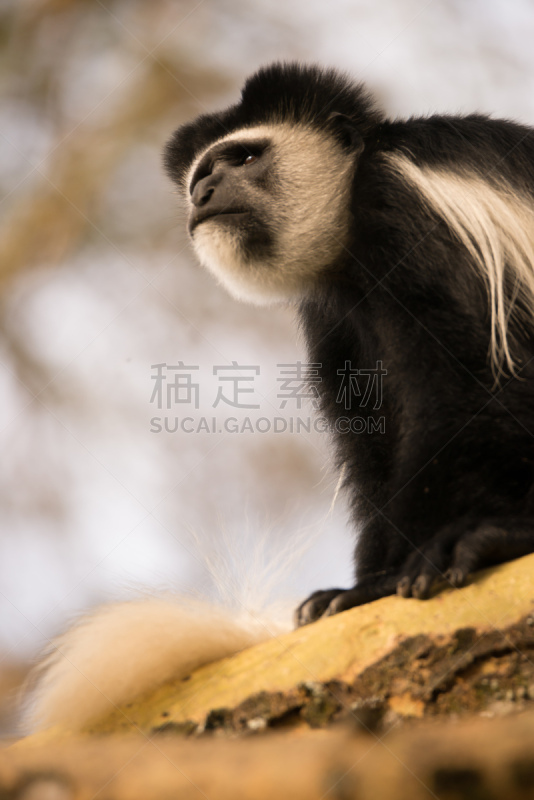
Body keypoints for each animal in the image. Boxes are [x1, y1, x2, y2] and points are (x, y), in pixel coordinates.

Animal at [164, 61, 534, 624]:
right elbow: (372, 429)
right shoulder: (335, 314)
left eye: (244, 157)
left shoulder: (407, 207)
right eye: (200, 173)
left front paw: (413, 564)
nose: (202, 190)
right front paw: (362, 586)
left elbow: (469, 378)